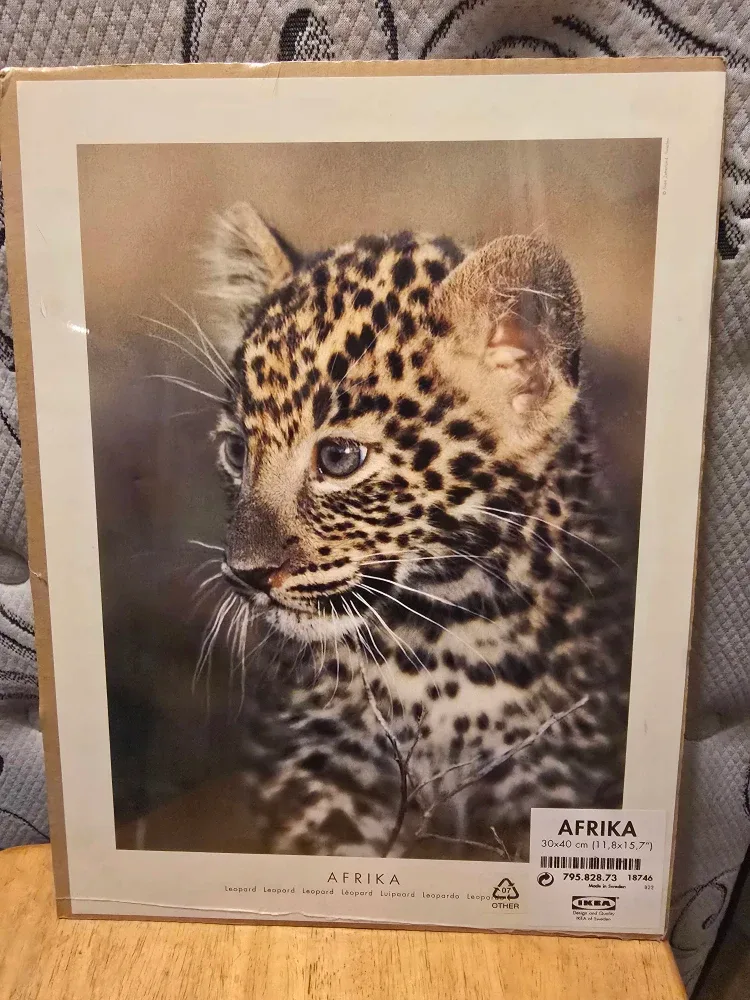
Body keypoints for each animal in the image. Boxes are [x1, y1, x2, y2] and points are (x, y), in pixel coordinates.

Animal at [198, 202, 633, 860]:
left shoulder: (553, 778)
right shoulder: (314, 777)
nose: (245, 575)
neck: (440, 642)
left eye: (339, 458)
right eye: (235, 452)